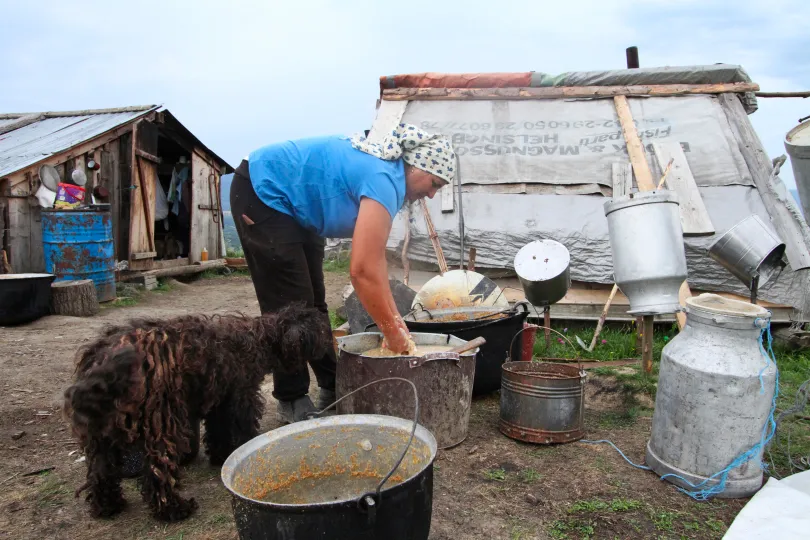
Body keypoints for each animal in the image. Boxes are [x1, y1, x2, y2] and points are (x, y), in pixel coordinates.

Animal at [61, 304, 330, 520]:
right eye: (318, 328)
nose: (329, 341)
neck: (262, 337)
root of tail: (101, 357)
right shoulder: (240, 397)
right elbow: (241, 430)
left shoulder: (220, 401)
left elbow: (218, 432)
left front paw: (221, 456)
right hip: (160, 421)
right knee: (156, 473)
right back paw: (173, 510)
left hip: (100, 432)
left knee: (100, 472)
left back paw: (107, 506)